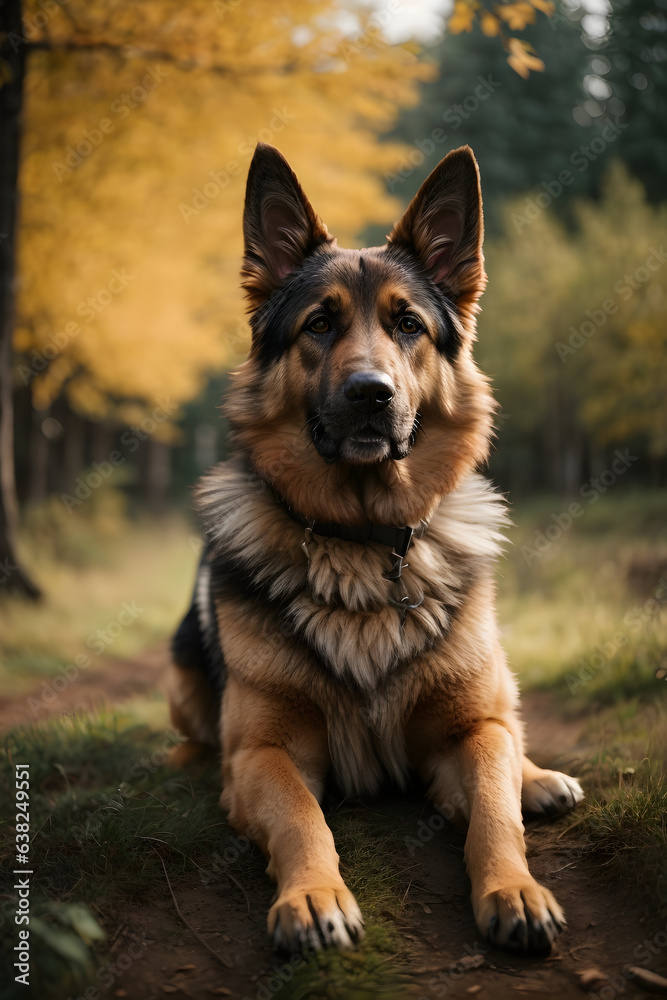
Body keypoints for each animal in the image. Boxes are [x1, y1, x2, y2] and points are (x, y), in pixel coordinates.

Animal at [168, 145, 584, 956]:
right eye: (320, 324)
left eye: (409, 324)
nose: (371, 393)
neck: (361, 542)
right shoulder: (265, 753)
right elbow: (302, 816)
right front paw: (312, 896)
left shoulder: (468, 733)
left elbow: (495, 809)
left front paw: (513, 888)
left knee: (511, 730)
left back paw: (538, 778)